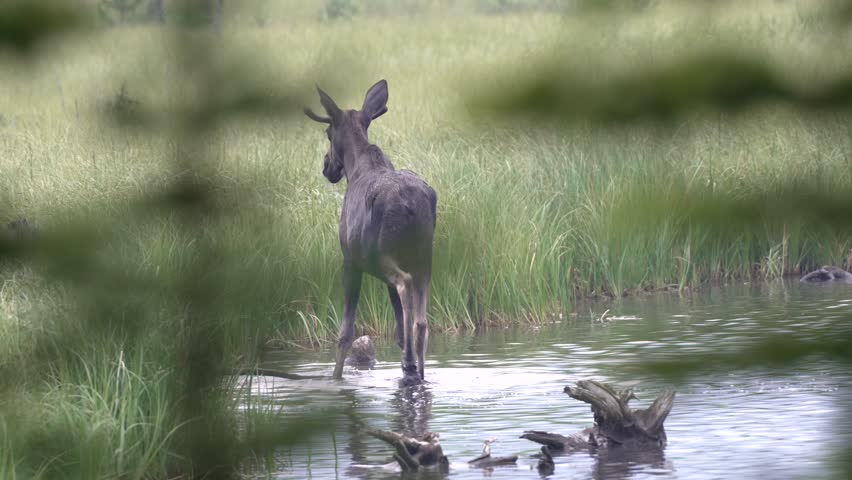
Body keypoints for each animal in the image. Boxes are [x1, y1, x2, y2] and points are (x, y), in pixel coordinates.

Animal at [305, 80, 437, 385]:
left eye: (328, 133)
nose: (327, 167)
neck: (356, 167)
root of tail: (410, 203)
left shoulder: (350, 261)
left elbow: (345, 332)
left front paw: (336, 378)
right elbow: (399, 329)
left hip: (384, 257)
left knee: (404, 285)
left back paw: (410, 364)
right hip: (424, 257)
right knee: (420, 319)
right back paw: (418, 370)